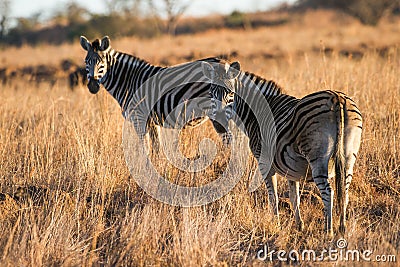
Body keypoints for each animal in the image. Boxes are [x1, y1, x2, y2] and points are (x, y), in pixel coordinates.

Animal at [79, 36, 234, 156]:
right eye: (86, 62)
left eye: (101, 63)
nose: (92, 86)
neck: (129, 80)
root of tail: (224, 63)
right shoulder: (151, 120)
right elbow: (156, 148)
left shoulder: (139, 117)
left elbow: (144, 148)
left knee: (229, 139)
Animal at [203, 60, 362, 237]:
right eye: (211, 93)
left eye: (231, 93)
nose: (219, 124)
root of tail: (337, 98)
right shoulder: (291, 168)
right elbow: (294, 198)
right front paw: (299, 226)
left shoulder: (264, 162)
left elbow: (274, 197)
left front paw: (276, 225)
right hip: (349, 157)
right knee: (344, 193)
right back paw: (342, 228)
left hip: (318, 158)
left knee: (329, 193)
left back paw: (329, 232)